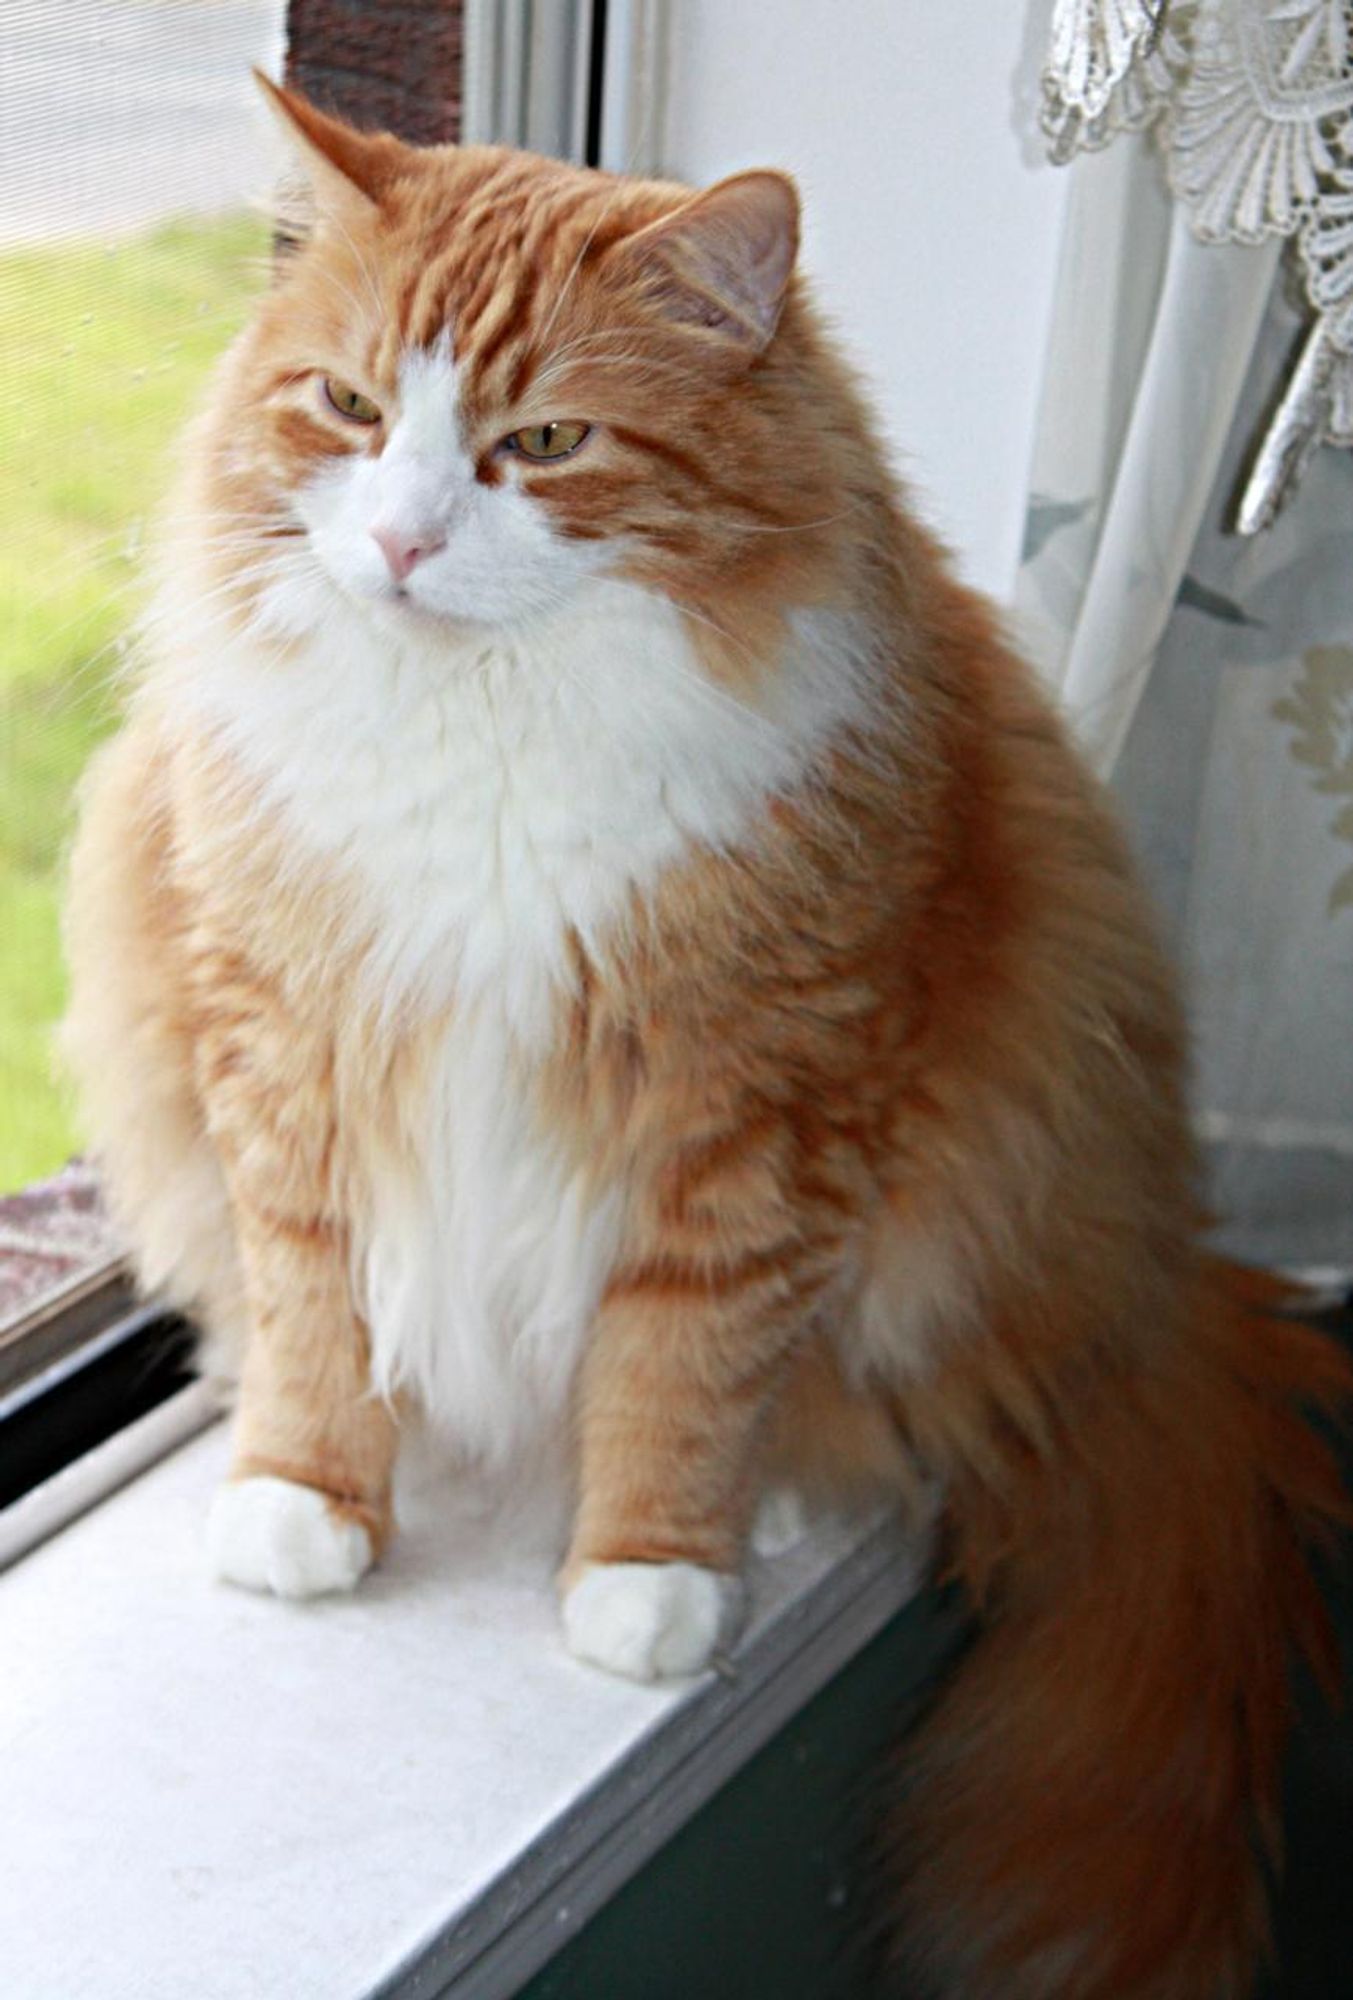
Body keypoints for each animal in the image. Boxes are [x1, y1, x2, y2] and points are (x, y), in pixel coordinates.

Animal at [66, 82, 1353, 2000]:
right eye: (350, 409)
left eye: (543, 440)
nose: (400, 543)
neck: (487, 723)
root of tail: (1153, 1271)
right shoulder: (282, 1048)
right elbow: (311, 1312)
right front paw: (308, 1505)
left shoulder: (760, 1105)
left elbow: (681, 1365)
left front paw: (645, 1581)